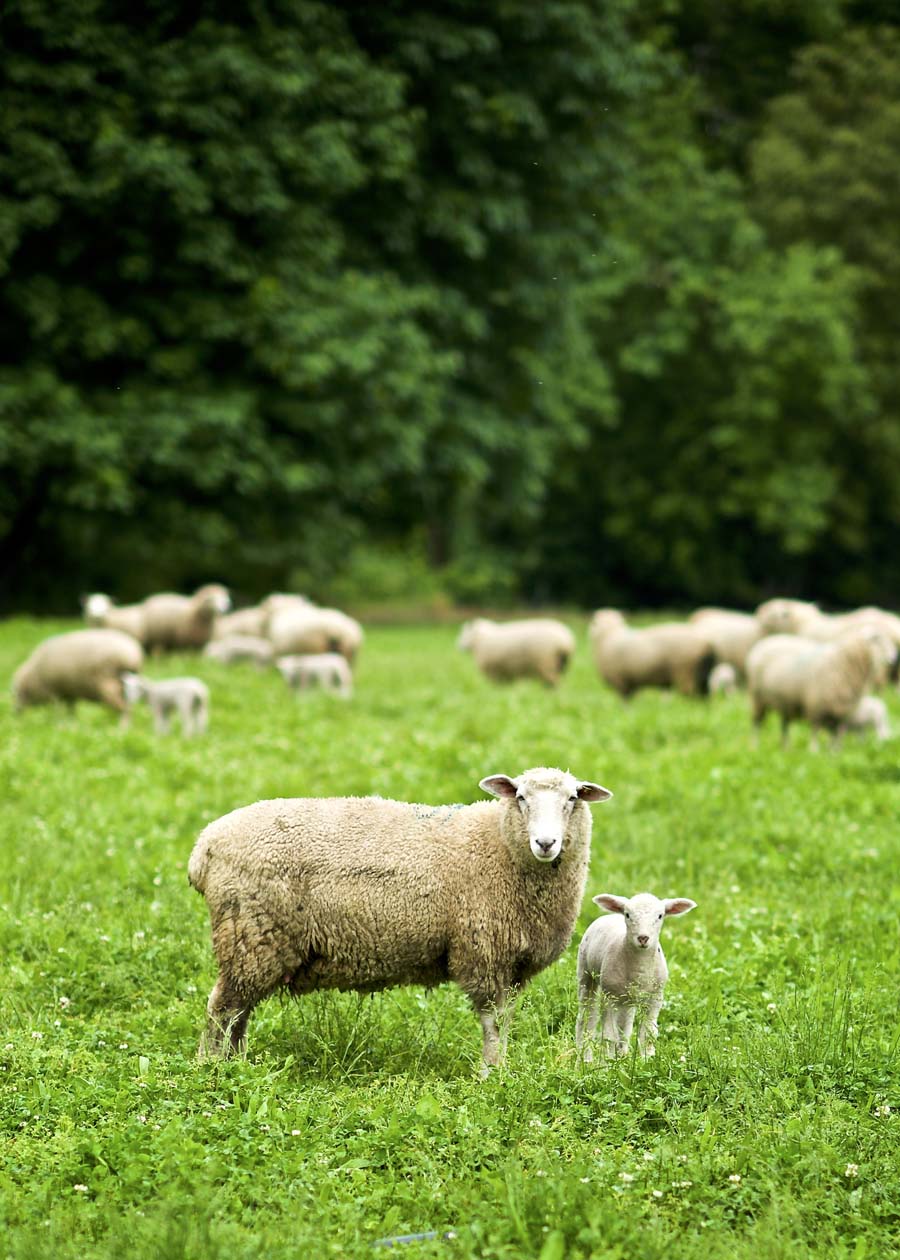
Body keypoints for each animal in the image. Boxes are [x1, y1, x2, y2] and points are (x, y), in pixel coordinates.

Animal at [11, 630, 143, 720]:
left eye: (16, 692)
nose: (16, 713)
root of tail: (132, 654)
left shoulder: (54, 692)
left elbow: (57, 711)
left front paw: (57, 722)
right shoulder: (69, 693)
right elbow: (71, 710)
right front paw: (71, 722)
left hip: (109, 684)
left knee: (125, 709)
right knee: (124, 707)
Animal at [187, 766, 610, 1073]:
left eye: (572, 798)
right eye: (521, 798)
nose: (545, 843)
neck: (499, 846)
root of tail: (203, 848)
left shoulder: (512, 964)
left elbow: (505, 1021)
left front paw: (502, 1069)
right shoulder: (483, 952)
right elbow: (493, 1022)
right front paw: (492, 1074)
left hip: (253, 945)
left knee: (237, 1012)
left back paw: (236, 1064)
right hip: (251, 936)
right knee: (221, 1008)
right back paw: (212, 1068)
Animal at [574, 892, 695, 1058]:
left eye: (660, 916)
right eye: (627, 915)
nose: (643, 938)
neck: (640, 967)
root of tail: (610, 915)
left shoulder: (655, 997)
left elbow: (648, 1034)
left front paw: (647, 1060)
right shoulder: (610, 996)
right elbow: (609, 1036)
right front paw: (607, 1063)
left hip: (628, 999)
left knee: (625, 1026)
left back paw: (622, 1055)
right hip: (586, 975)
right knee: (587, 1018)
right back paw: (584, 1056)